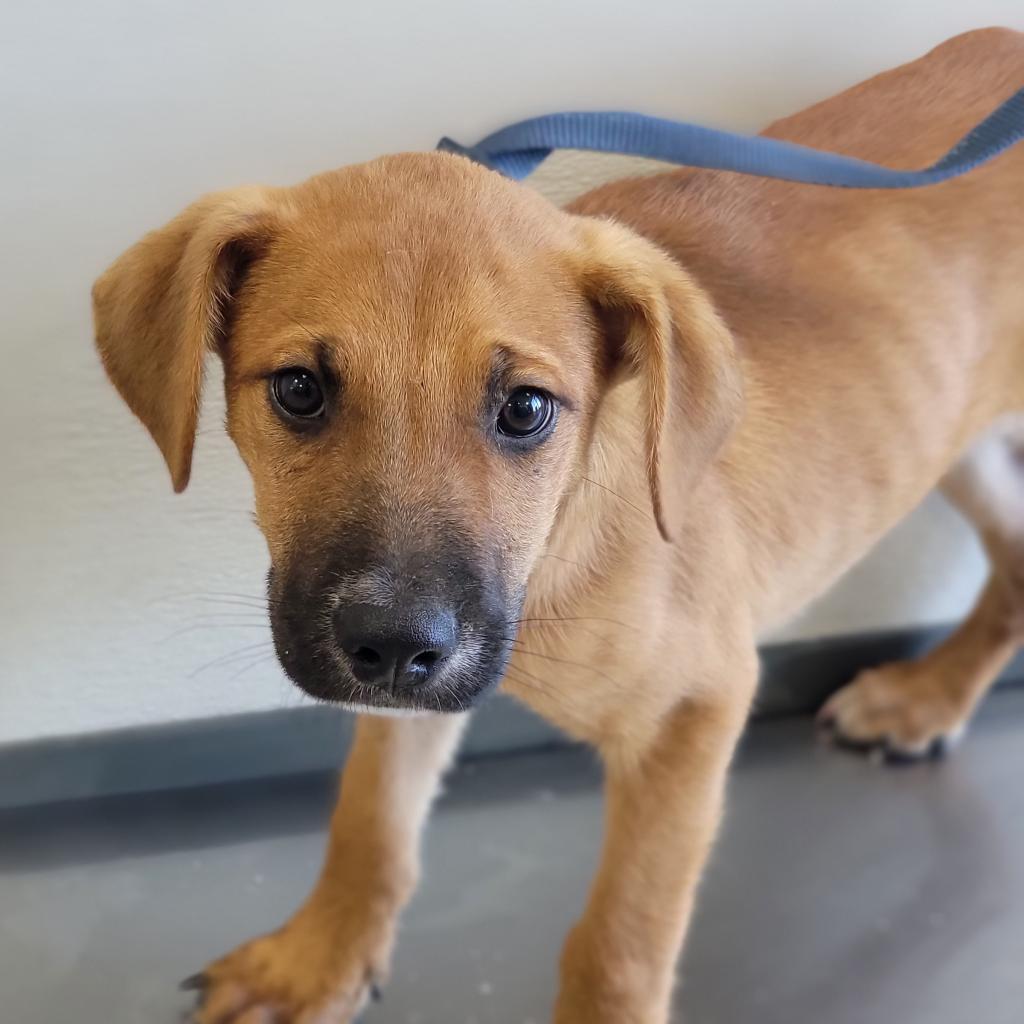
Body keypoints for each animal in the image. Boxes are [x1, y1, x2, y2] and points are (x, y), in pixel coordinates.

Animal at [92, 28, 1024, 1024]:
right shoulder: (407, 684)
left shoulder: (695, 708)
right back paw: (925, 699)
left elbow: (621, 938)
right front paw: (318, 959)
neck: (559, 555)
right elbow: (370, 817)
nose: (392, 646)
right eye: (300, 389)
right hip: (961, 442)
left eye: (527, 409)